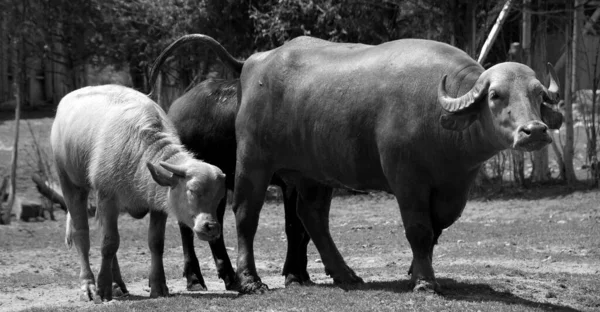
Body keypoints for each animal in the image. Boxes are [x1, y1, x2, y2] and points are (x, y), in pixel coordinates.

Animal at [50, 84, 225, 302]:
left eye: (219, 198)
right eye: (192, 190)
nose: (212, 227)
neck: (137, 152)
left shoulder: (158, 205)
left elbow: (155, 243)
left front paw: (158, 285)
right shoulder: (107, 198)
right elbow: (109, 243)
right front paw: (103, 287)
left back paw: (117, 284)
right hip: (70, 183)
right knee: (82, 233)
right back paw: (89, 286)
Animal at [148, 35, 312, 292]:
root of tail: (176, 108)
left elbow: (305, 229)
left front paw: (301, 273)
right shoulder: (291, 183)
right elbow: (294, 226)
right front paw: (293, 275)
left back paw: (228, 277)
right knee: (188, 226)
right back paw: (197, 278)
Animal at [199, 35, 560, 294]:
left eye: (539, 95)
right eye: (496, 95)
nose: (535, 130)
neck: (442, 123)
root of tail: (253, 63)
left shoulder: (456, 186)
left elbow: (438, 227)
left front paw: (416, 271)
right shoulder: (406, 179)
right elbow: (419, 228)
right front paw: (425, 282)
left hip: (313, 174)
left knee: (311, 216)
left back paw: (344, 273)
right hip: (253, 159)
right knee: (247, 214)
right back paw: (250, 281)